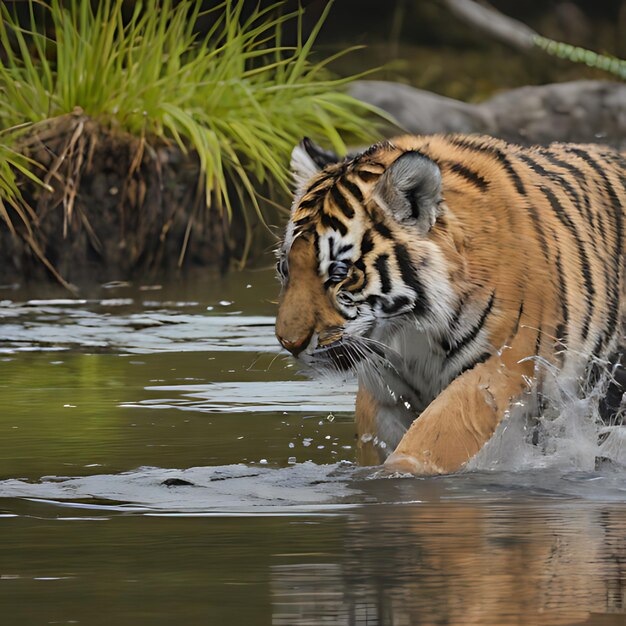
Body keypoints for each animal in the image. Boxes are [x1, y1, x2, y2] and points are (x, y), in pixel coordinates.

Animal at [274, 133, 624, 472]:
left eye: (339, 273)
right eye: (285, 268)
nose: (290, 343)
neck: (409, 329)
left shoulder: (498, 366)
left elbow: (432, 437)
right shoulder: (385, 389)